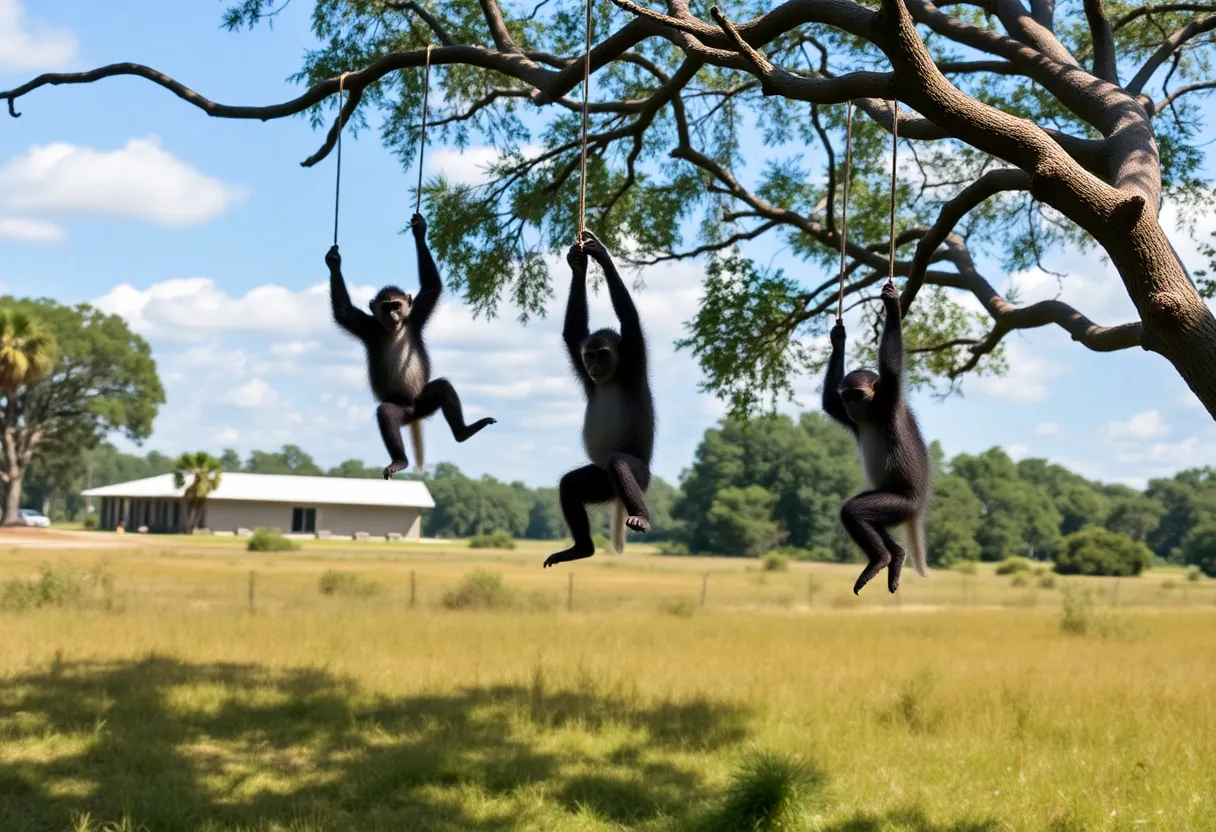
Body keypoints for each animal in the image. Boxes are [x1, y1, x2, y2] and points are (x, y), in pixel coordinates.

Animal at [327, 212, 496, 479]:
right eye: (386, 307)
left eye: (397, 305)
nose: (394, 315)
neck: (394, 329)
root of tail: (413, 416)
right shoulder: (367, 326)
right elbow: (343, 312)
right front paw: (334, 263)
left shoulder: (416, 316)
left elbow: (432, 287)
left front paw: (420, 231)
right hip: (404, 409)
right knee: (387, 413)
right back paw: (400, 459)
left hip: (423, 402)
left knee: (443, 388)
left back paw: (463, 431)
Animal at [543, 232, 655, 568]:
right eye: (590, 355)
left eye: (603, 354)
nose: (594, 366)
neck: (612, 375)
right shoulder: (580, 359)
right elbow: (572, 331)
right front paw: (578, 265)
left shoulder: (634, 355)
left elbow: (629, 317)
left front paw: (602, 255)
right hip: (600, 481)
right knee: (571, 485)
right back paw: (581, 548)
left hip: (640, 477)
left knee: (619, 463)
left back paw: (641, 516)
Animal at [822, 280, 932, 594]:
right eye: (847, 396)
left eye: (857, 394)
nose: (851, 405)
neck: (870, 413)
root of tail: (918, 508)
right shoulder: (849, 416)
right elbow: (828, 402)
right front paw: (838, 339)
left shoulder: (887, 398)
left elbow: (891, 366)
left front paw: (892, 305)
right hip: (891, 504)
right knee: (868, 518)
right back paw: (895, 555)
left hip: (900, 503)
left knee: (854, 511)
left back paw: (881, 558)